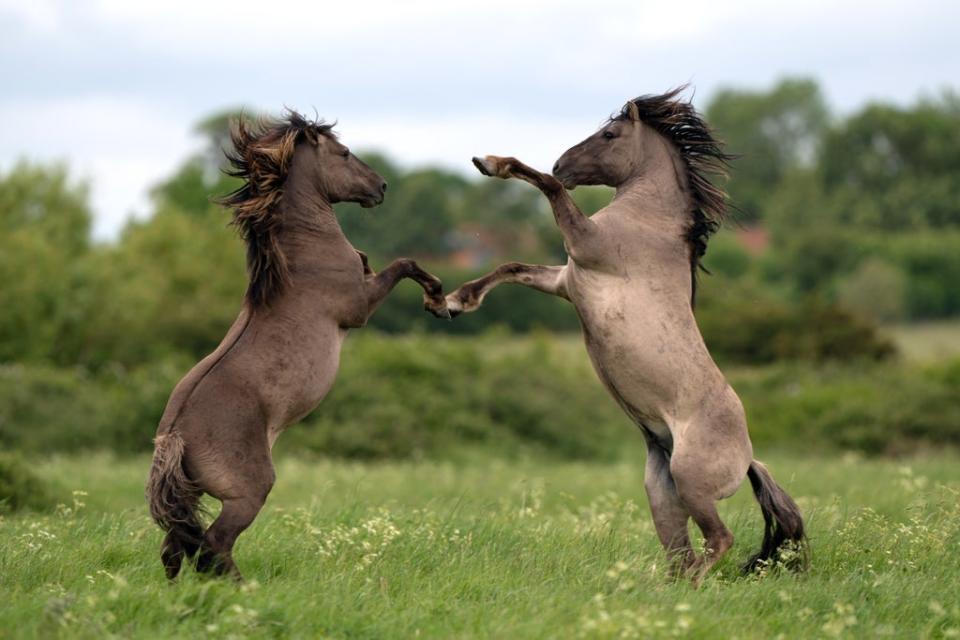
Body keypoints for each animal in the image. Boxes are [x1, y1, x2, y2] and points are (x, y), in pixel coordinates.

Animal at [146, 111, 450, 580]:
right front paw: (438, 299)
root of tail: (173, 435)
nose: (381, 186)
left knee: (177, 548)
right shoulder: (359, 306)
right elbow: (405, 263)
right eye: (344, 153)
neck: (304, 252)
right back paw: (244, 589)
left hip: (192, 497)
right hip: (247, 493)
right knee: (214, 544)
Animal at [446, 89, 808, 584]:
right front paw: (455, 300)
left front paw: (493, 163)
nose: (562, 163)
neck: (650, 220)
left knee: (719, 540)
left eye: (610, 134)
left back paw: (691, 589)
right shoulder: (565, 279)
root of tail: (749, 457)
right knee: (682, 552)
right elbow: (512, 267)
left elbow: (547, 187)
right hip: (662, 492)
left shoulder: (584, 246)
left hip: (692, 485)